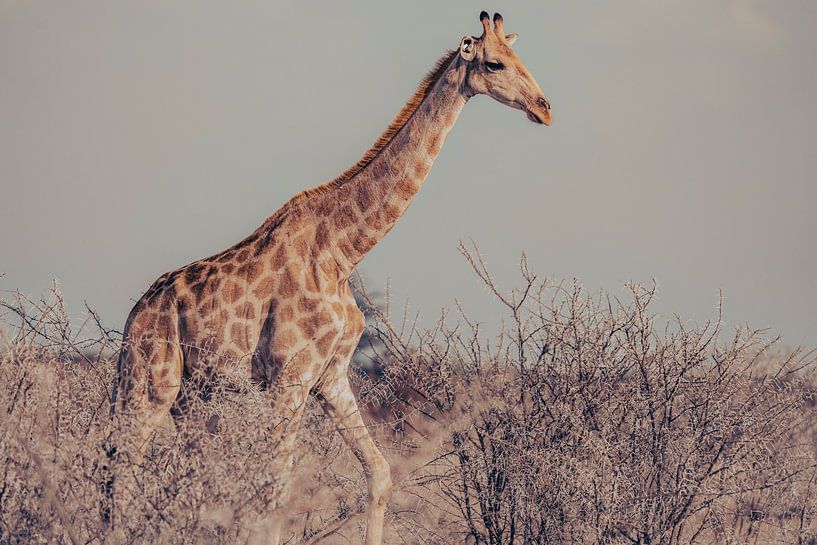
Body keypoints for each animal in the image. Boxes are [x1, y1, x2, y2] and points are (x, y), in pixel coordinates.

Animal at [111, 11, 550, 545]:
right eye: (494, 63)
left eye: (518, 56)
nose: (545, 109)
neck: (344, 251)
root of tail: (134, 316)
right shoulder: (289, 376)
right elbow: (274, 494)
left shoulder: (331, 374)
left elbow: (379, 474)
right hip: (153, 382)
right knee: (121, 474)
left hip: (193, 396)